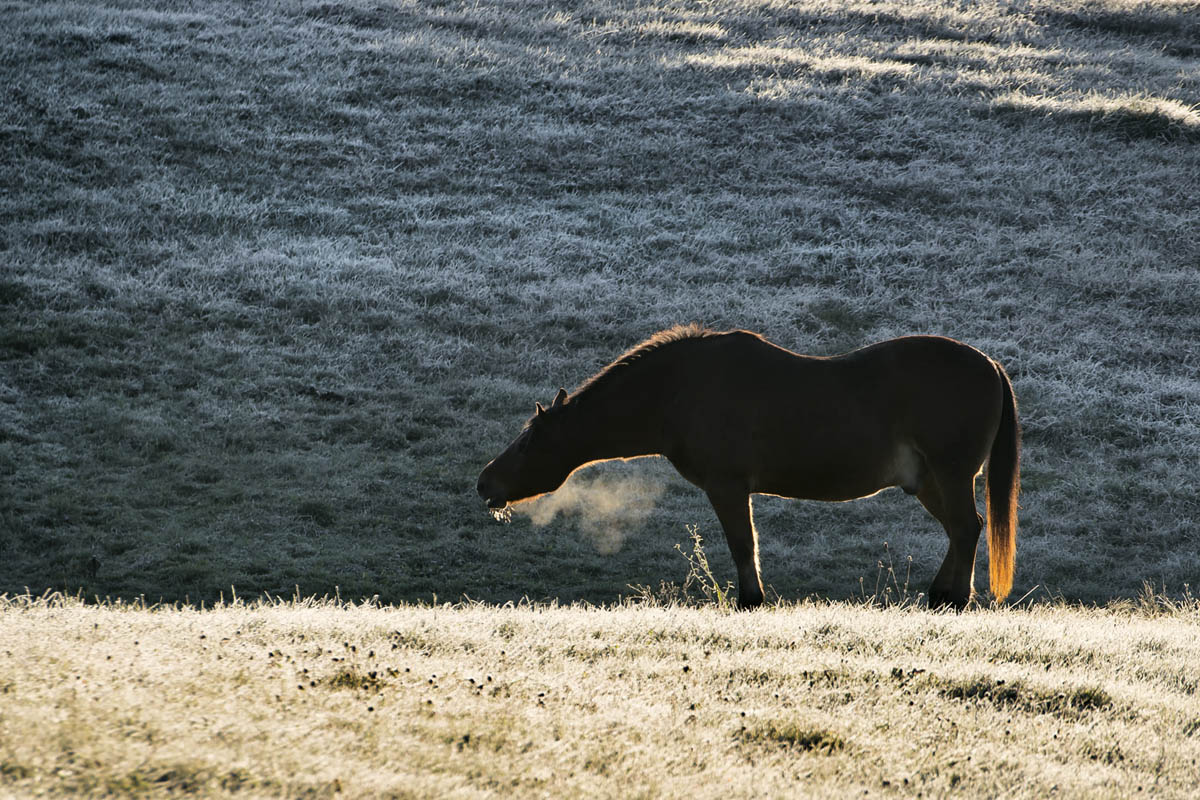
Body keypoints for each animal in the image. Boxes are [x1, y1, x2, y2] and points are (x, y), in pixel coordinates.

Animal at [477, 321, 1022, 609]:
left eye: (528, 442)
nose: (485, 483)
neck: (679, 391)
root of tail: (989, 364)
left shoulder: (727, 486)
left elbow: (743, 544)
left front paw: (750, 601)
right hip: (929, 482)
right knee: (961, 530)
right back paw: (939, 595)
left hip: (950, 474)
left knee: (967, 528)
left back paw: (955, 599)